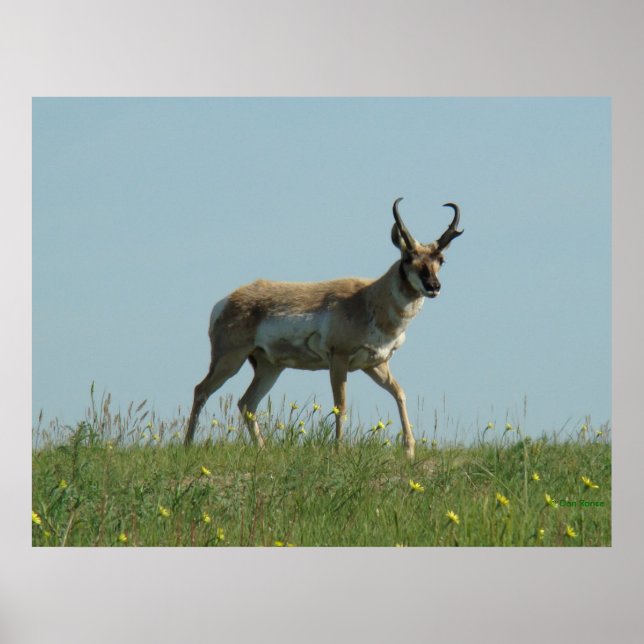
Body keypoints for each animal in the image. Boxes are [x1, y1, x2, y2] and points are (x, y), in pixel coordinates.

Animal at [184, 198, 463, 458]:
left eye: (441, 259)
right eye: (407, 257)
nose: (433, 286)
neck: (369, 298)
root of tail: (226, 301)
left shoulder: (375, 364)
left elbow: (400, 393)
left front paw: (409, 450)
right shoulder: (338, 359)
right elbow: (341, 405)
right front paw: (339, 450)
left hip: (269, 367)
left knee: (246, 403)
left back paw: (262, 449)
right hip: (230, 359)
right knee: (201, 390)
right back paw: (188, 444)